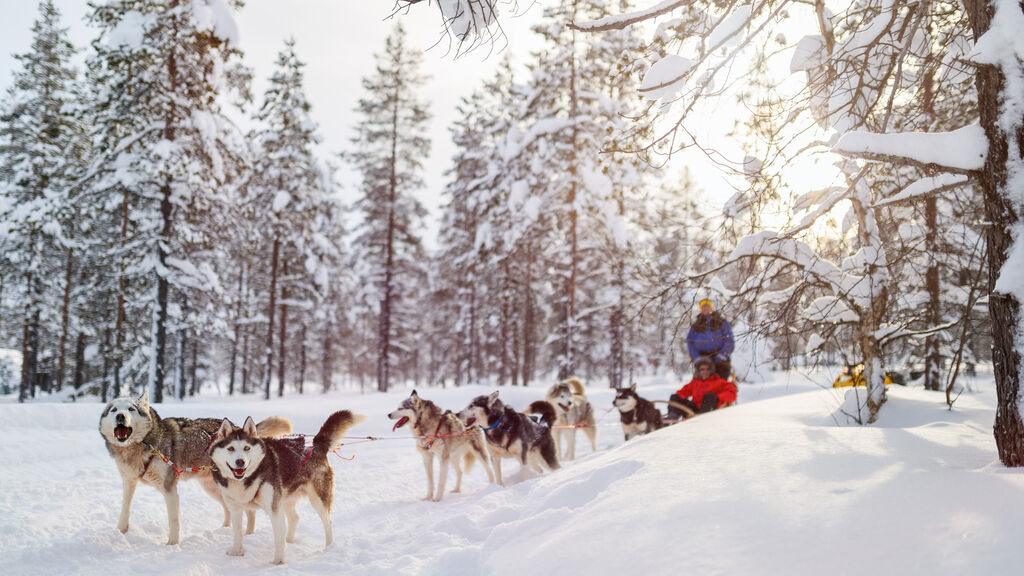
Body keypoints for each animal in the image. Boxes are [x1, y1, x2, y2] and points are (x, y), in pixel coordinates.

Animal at [97, 389, 290, 541]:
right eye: (114, 410)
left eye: (131, 409)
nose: (120, 416)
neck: (143, 446)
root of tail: (239, 428)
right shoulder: (129, 481)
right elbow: (125, 509)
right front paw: (120, 532)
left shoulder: (169, 488)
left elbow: (173, 521)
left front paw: (172, 545)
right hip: (214, 488)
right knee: (229, 509)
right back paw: (224, 529)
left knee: (249, 512)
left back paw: (248, 534)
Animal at [207, 409, 364, 561]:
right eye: (230, 448)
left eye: (247, 448)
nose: (240, 462)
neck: (246, 478)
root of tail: (316, 446)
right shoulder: (235, 509)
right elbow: (237, 533)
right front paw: (236, 552)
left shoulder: (274, 509)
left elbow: (278, 539)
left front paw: (278, 562)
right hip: (286, 499)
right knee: (295, 518)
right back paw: (289, 541)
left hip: (317, 500)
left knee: (328, 523)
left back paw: (329, 548)